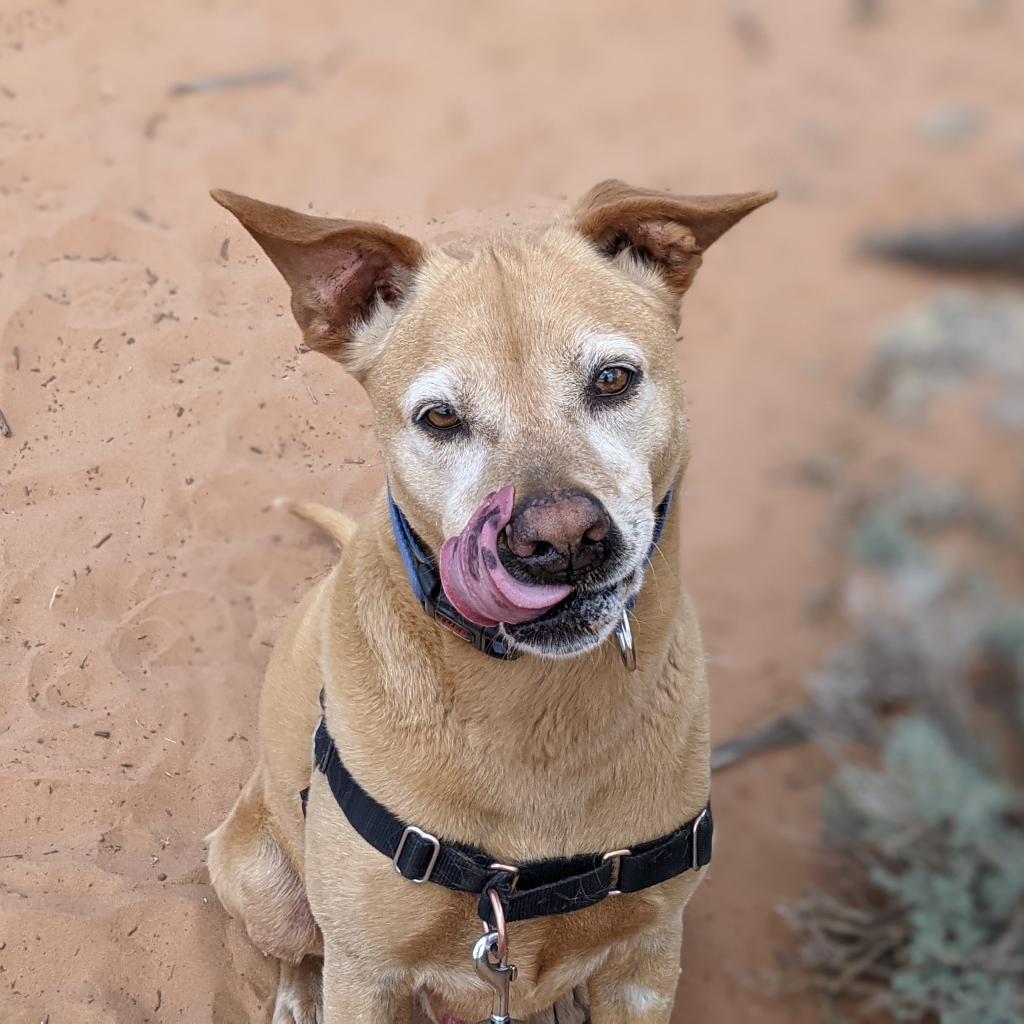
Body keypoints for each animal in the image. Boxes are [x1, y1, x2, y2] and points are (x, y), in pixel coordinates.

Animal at [205, 180, 770, 1019]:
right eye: (439, 417)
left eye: (613, 379)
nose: (560, 539)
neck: (533, 710)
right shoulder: (368, 972)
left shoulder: (646, 961)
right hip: (263, 881)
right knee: (296, 950)